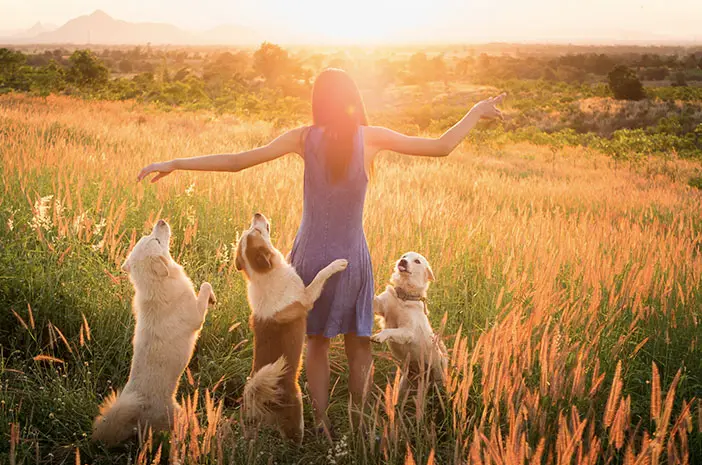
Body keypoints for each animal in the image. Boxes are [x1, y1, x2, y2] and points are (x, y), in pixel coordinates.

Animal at [92, 219, 216, 444]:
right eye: (157, 240)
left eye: (148, 237)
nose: (161, 221)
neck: (157, 284)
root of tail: (136, 413)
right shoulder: (196, 318)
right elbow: (205, 285)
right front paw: (210, 297)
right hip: (179, 415)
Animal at [235, 212, 348, 440]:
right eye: (257, 230)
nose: (257, 214)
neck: (263, 275)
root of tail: (259, 398)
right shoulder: (307, 297)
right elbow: (321, 275)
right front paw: (337, 264)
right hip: (296, 413)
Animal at [374, 252, 452, 390]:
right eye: (404, 256)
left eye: (417, 261)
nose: (402, 261)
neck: (403, 297)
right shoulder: (380, 305)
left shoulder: (408, 331)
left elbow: (390, 330)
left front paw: (380, 336)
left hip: (438, 377)